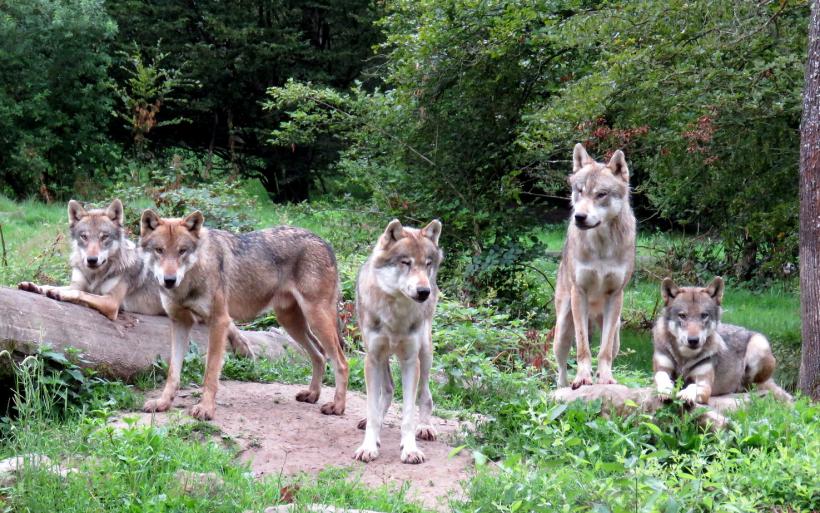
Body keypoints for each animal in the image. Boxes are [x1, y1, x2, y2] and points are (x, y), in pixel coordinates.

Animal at [16, 199, 250, 356]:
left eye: (104, 237)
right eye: (84, 237)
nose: (91, 260)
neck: (96, 274)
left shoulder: (111, 302)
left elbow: (79, 294)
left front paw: (57, 294)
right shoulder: (80, 282)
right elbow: (61, 286)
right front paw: (35, 286)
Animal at [139, 209, 350, 420]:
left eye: (182, 251)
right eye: (159, 250)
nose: (169, 280)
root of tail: (324, 241)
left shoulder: (219, 322)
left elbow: (210, 372)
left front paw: (206, 408)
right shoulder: (179, 322)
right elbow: (173, 373)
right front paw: (162, 403)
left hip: (316, 319)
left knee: (341, 362)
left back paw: (337, 407)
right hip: (290, 322)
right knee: (319, 354)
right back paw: (313, 394)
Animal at [352, 219, 442, 464]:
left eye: (427, 264)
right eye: (406, 262)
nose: (424, 291)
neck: (396, 314)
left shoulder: (411, 360)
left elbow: (409, 414)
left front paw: (410, 450)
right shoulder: (372, 358)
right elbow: (372, 409)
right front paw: (369, 446)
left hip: (426, 353)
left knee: (425, 395)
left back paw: (425, 427)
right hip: (381, 357)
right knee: (388, 389)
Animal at [556, 144, 636, 388]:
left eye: (601, 194)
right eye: (579, 191)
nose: (579, 217)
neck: (601, 248)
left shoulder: (615, 295)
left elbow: (604, 351)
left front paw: (606, 379)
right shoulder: (579, 292)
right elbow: (583, 349)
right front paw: (582, 379)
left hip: (617, 333)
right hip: (562, 331)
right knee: (560, 367)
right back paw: (564, 386)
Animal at [652, 276, 792, 404]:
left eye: (704, 315)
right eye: (682, 316)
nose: (693, 340)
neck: (685, 358)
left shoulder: (704, 383)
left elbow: (694, 386)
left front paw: (686, 394)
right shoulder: (662, 369)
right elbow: (661, 377)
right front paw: (665, 390)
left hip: (758, 346)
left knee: (753, 386)